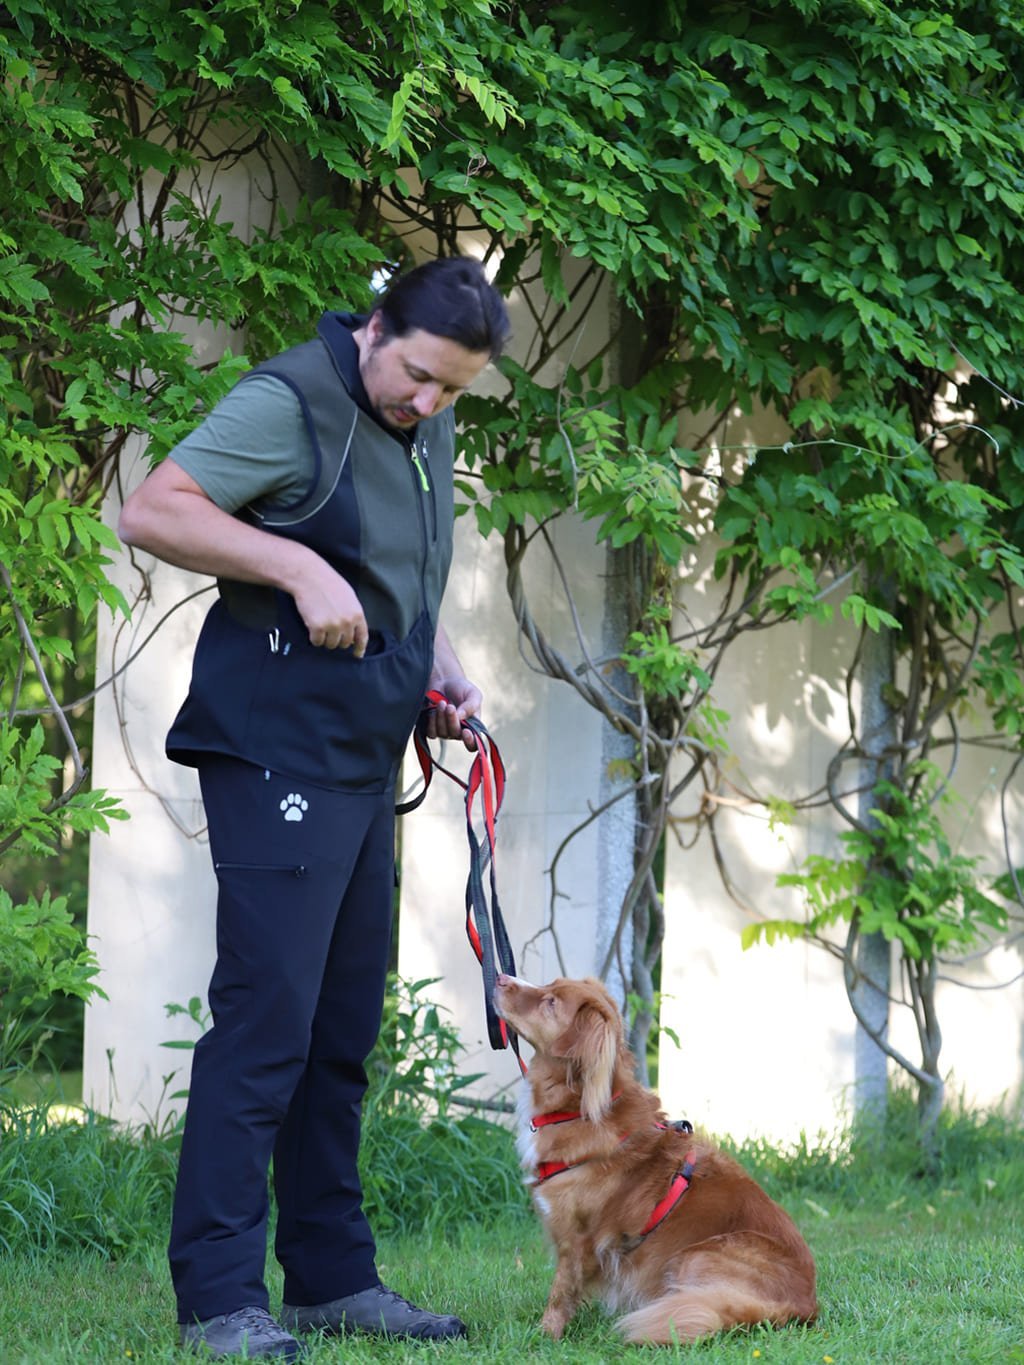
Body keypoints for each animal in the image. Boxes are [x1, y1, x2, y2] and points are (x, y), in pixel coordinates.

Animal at [494, 971, 824, 1343]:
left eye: (550, 1002)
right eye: (548, 984)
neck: (577, 1108)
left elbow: (561, 1292)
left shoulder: (578, 1240)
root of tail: (805, 1306)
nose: (501, 977)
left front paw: (545, 1333)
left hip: (694, 1256)